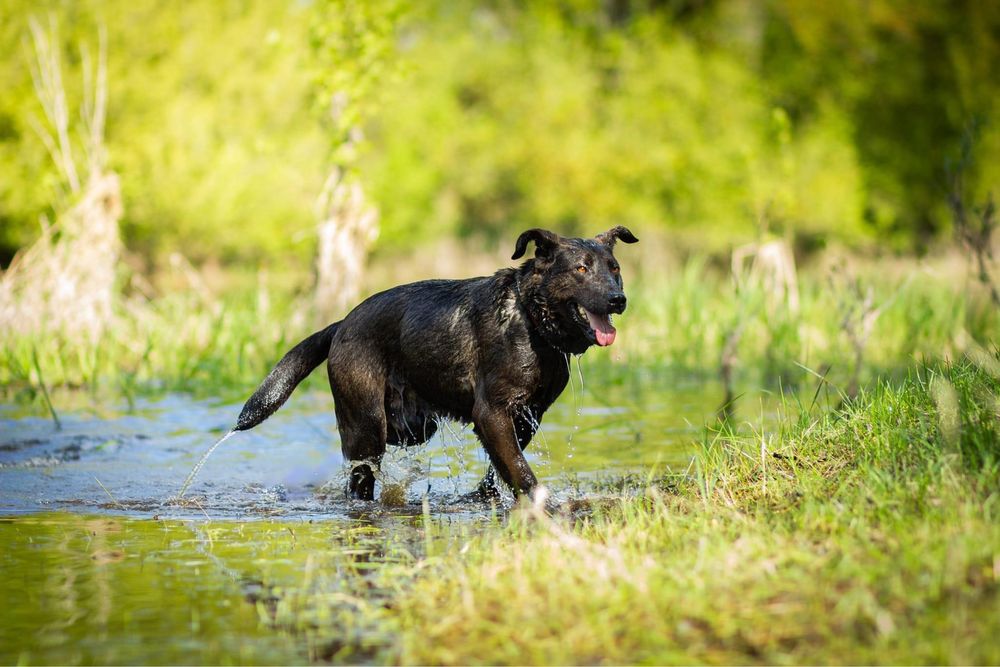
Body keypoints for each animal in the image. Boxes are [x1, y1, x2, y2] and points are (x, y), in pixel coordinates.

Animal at [230, 227, 636, 498]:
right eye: (581, 269)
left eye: (615, 268)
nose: (618, 299)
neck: (532, 318)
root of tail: (341, 323)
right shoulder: (491, 412)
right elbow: (521, 471)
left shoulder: (526, 415)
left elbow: (502, 467)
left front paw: (485, 498)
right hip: (366, 426)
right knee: (360, 475)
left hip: (413, 427)